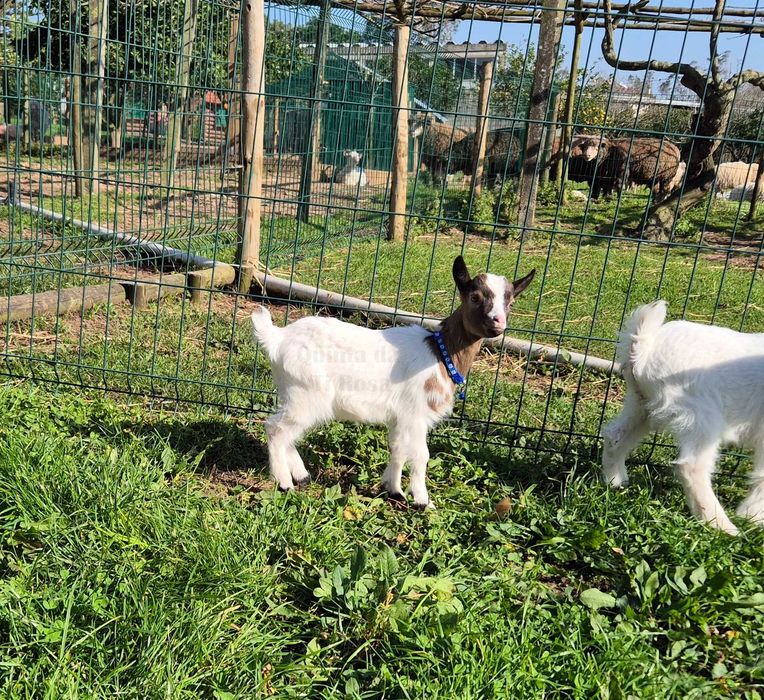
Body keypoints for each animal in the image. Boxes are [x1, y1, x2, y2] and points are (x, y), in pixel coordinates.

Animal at [251, 257, 536, 508]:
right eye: (475, 297)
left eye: (510, 302)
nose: (499, 323)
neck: (440, 353)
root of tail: (277, 338)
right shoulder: (416, 413)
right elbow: (421, 455)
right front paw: (422, 501)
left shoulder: (400, 416)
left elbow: (398, 449)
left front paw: (394, 490)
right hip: (306, 393)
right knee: (276, 429)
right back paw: (284, 482)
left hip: (295, 393)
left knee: (288, 431)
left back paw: (301, 475)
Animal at [602, 301, 764, 535]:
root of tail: (645, 350)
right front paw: (752, 517)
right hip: (701, 416)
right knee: (692, 466)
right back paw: (722, 527)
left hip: (640, 405)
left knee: (615, 436)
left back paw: (615, 481)